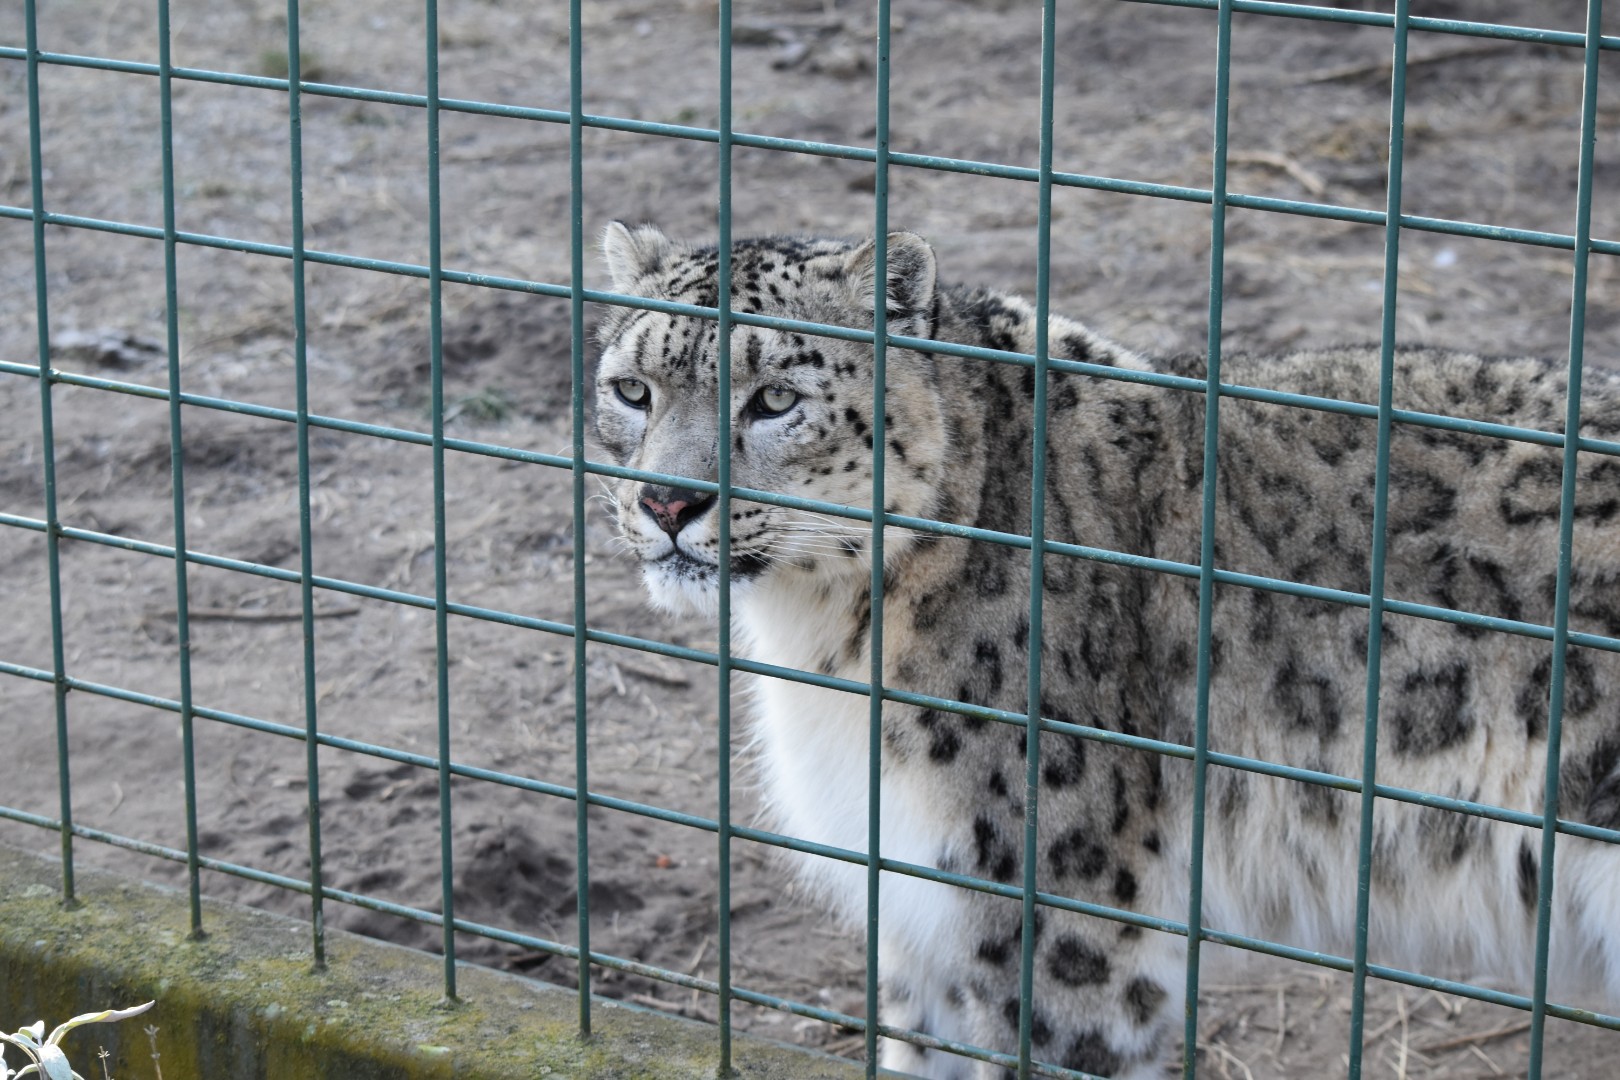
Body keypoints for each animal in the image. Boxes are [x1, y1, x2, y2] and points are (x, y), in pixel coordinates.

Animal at [590, 221, 1620, 1078]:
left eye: (775, 399)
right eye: (632, 390)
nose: (667, 503)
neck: (823, 636)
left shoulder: (1053, 916)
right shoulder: (920, 910)